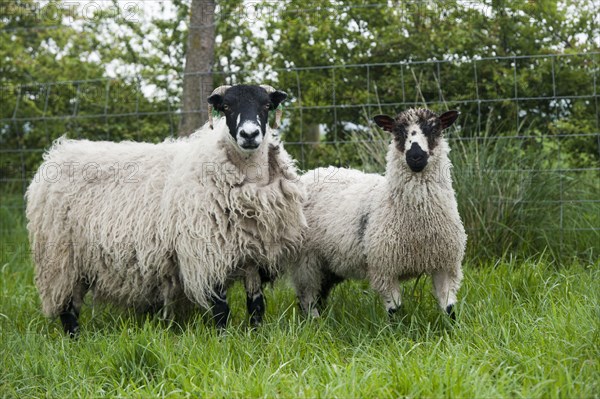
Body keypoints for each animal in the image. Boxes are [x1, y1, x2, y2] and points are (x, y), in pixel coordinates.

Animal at [24, 85, 304, 338]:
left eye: (266, 105)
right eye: (226, 107)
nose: (249, 134)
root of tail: (56, 153)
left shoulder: (254, 256)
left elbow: (256, 305)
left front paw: (256, 337)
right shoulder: (206, 252)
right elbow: (221, 308)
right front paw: (224, 340)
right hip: (61, 257)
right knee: (67, 305)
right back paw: (74, 339)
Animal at [292, 108, 466, 318]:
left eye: (434, 128)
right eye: (398, 131)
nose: (416, 156)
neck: (418, 227)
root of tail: (310, 173)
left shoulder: (446, 265)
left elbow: (449, 309)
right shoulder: (384, 268)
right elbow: (394, 311)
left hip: (330, 260)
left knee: (320, 292)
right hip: (306, 260)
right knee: (307, 295)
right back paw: (315, 320)